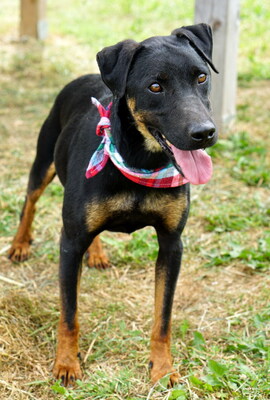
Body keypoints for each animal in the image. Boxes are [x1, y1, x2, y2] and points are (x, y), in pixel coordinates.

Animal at [8, 25, 218, 388]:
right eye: (155, 87)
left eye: (202, 77)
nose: (205, 133)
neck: (141, 162)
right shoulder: (70, 242)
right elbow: (69, 313)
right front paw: (66, 364)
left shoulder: (171, 244)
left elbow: (163, 316)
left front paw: (163, 368)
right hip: (43, 161)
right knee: (29, 201)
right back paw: (20, 244)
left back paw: (97, 253)